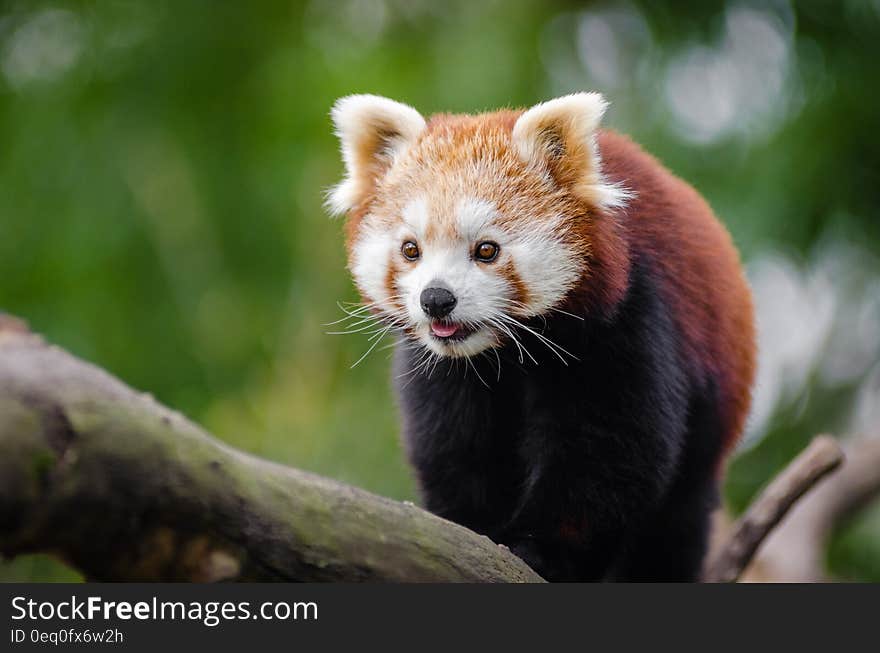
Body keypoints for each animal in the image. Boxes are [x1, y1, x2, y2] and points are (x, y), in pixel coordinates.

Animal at [326, 93, 752, 580]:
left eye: (486, 250)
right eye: (410, 249)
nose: (436, 299)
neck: (504, 354)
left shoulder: (629, 321)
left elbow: (607, 455)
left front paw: (541, 550)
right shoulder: (445, 374)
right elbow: (455, 450)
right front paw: (470, 527)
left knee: (674, 526)